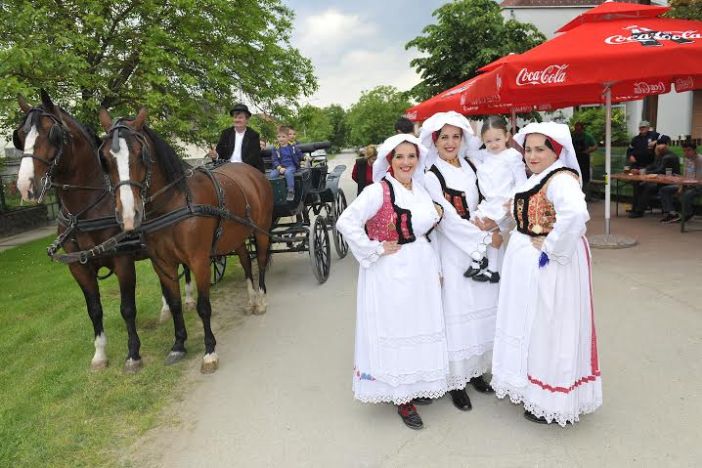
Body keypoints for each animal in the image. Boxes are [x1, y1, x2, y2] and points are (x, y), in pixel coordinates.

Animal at [13, 89, 194, 372]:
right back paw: (166, 310)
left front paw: (133, 354)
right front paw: (99, 354)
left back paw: (187, 299)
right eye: (20, 135)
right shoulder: (78, 267)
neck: (84, 211)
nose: (24, 186)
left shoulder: (122, 260)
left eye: (50, 134)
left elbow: (127, 308)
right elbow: (94, 309)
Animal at [99, 107, 276, 372]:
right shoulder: (162, 264)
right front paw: (178, 345)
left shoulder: (199, 260)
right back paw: (252, 299)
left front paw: (210, 351)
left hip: (261, 231)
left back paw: (262, 299)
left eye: (141, 155)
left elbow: (204, 306)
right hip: (235, 236)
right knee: (246, 261)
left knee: (262, 261)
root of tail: (252, 172)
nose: (129, 215)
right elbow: (174, 304)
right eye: (105, 159)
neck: (173, 202)